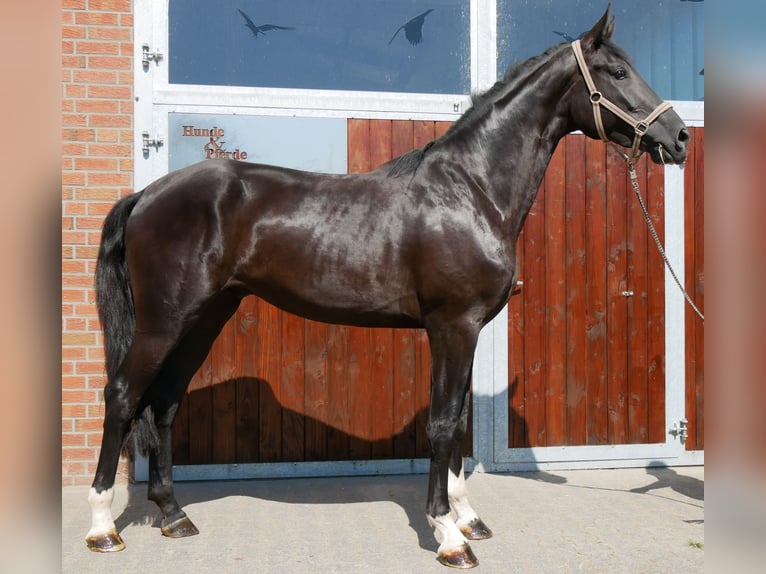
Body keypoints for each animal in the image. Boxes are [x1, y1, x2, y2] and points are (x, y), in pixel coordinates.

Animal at [86, 7, 689, 568]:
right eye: (617, 71)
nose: (678, 137)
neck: (470, 191)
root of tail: (147, 195)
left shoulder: (467, 330)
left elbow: (461, 420)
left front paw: (468, 518)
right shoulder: (452, 326)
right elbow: (442, 423)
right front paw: (447, 535)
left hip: (206, 317)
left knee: (164, 402)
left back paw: (173, 515)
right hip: (164, 321)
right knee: (123, 396)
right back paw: (102, 528)